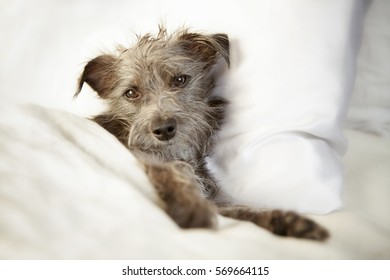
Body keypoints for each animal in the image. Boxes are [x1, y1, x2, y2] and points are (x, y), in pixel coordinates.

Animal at [74, 26, 330, 241]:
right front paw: (191, 208)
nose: (164, 129)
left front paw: (285, 220)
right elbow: (171, 173)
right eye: (130, 93)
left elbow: (236, 209)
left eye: (180, 79)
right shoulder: (145, 160)